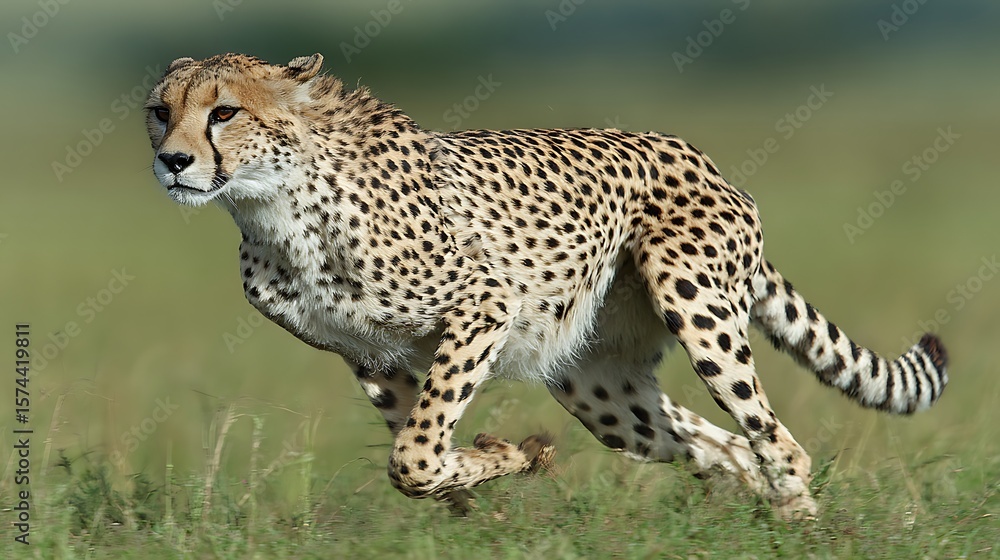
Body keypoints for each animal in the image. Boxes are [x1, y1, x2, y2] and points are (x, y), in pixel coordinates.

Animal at [144, 52, 948, 520]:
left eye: (224, 111)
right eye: (160, 111)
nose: (173, 161)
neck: (272, 205)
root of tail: (696, 153)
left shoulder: (483, 306)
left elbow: (416, 454)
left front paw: (497, 456)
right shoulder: (370, 355)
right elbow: (420, 452)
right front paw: (504, 459)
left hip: (692, 298)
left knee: (779, 444)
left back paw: (795, 521)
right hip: (597, 386)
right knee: (723, 448)